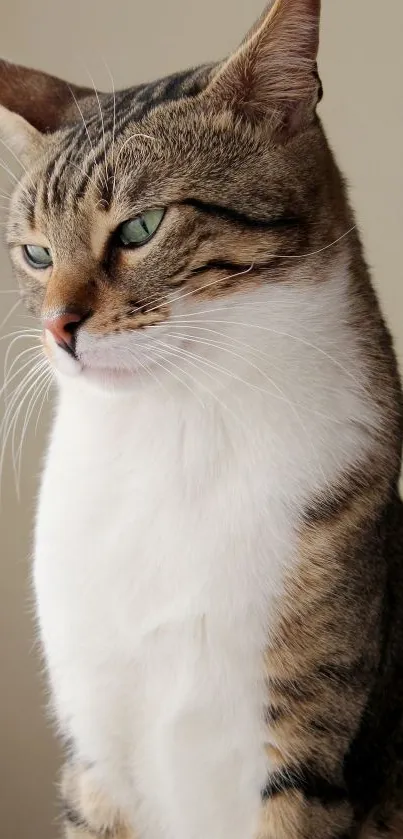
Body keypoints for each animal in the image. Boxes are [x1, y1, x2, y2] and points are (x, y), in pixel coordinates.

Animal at [0, 1, 403, 839]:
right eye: (34, 253)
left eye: (140, 227)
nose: (57, 326)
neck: (175, 426)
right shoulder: (93, 747)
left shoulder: (306, 745)